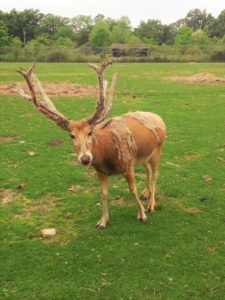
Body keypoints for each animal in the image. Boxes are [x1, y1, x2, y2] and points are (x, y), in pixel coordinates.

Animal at [14, 61, 165, 230]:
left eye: (90, 132)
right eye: (71, 135)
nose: (85, 158)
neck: (107, 156)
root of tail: (160, 119)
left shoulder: (127, 164)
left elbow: (132, 190)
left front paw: (142, 215)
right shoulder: (101, 171)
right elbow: (103, 194)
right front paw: (102, 221)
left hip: (157, 151)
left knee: (155, 174)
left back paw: (151, 204)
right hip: (144, 156)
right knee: (148, 170)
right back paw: (145, 193)